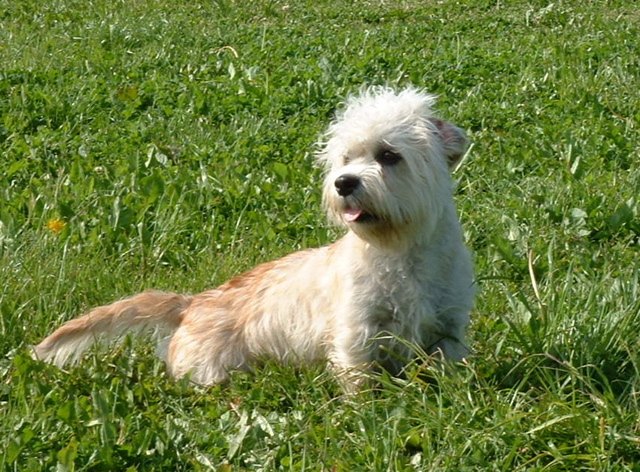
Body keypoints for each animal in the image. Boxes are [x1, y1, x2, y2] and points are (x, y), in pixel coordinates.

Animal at [35, 86, 476, 392]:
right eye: (345, 158)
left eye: (389, 156)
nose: (343, 183)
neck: (401, 252)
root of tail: (192, 303)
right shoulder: (357, 333)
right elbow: (360, 384)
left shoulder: (448, 331)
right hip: (213, 372)